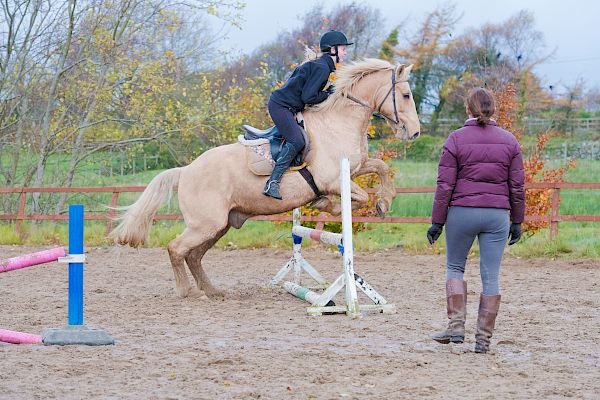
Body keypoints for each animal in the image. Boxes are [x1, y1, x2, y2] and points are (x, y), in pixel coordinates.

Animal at [113, 58, 422, 296]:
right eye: (406, 95)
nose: (415, 132)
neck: (338, 122)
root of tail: (186, 170)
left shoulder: (355, 167)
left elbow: (380, 168)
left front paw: (384, 201)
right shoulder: (334, 180)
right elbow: (356, 197)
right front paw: (329, 204)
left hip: (219, 225)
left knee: (194, 255)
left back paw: (212, 290)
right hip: (206, 224)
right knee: (177, 249)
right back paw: (188, 291)